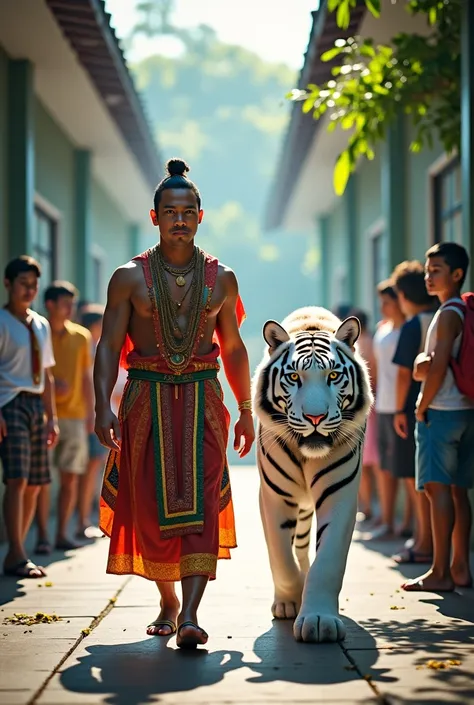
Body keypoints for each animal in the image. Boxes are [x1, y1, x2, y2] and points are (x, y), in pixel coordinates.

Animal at [252, 306, 374, 644]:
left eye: (333, 376)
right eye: (294, 377)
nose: (316, 417)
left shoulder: (340, 495)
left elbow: (327, 562)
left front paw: (319, 620)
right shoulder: (274, 497)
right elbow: (281, 556)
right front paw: (289, 601)